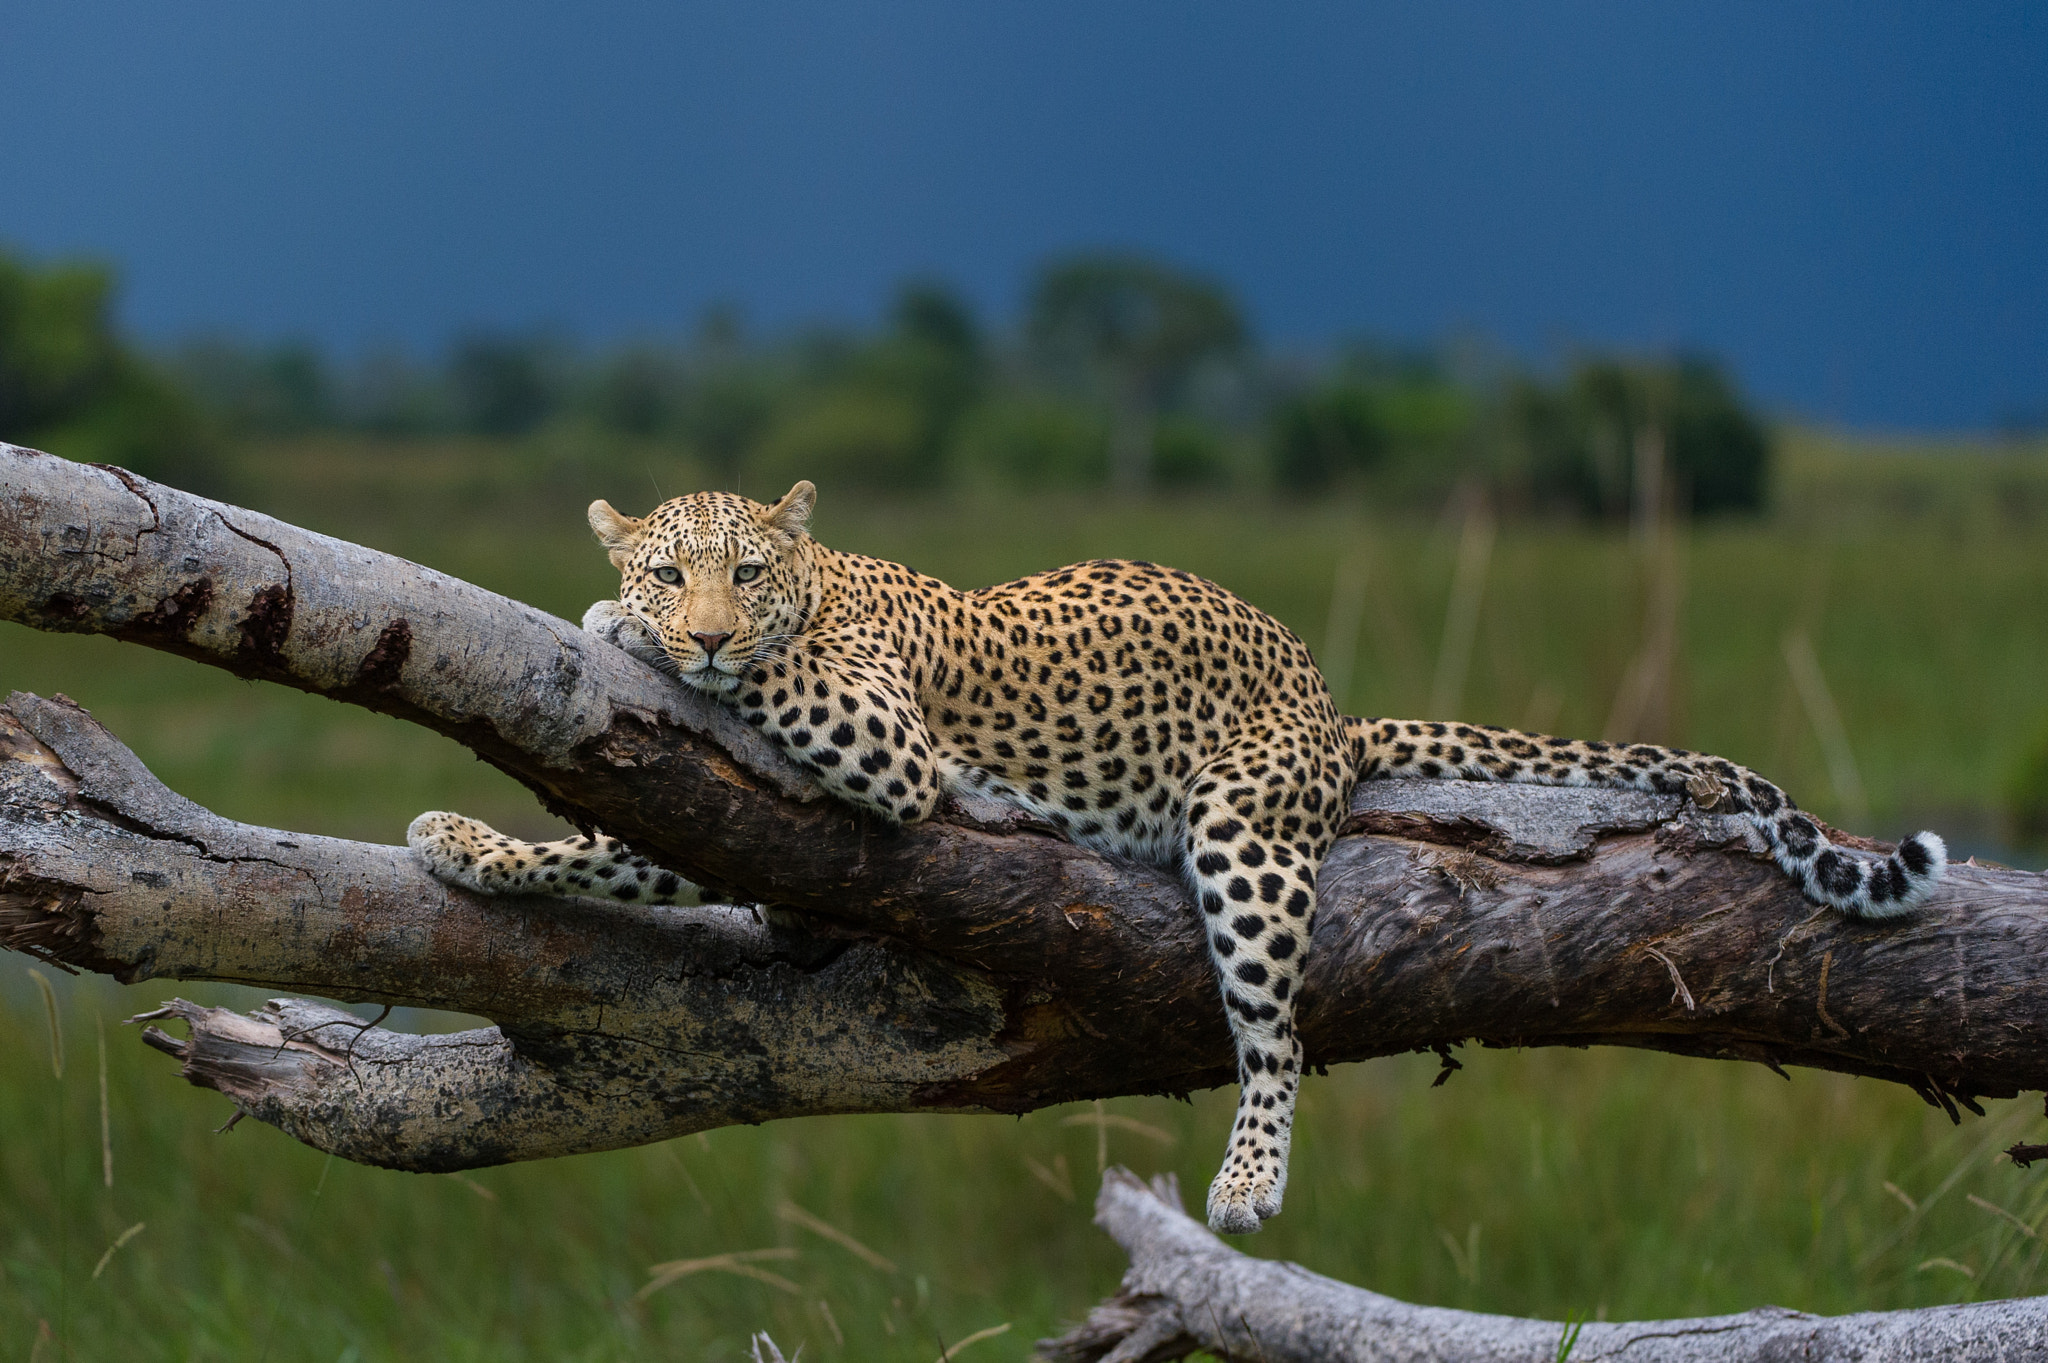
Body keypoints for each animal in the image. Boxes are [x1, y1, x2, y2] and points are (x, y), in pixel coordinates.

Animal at [408, 479, 1948, 1235]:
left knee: (1274, 1030)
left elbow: (769, 697)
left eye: (746, 572)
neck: (829, 584)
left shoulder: (880, 739)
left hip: (1241, 830)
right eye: (675, 565)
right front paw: (467, 841)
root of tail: (1327, 702)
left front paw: (619, 632)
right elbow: (607, 846)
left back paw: (1251, 1181)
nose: (703, 627)